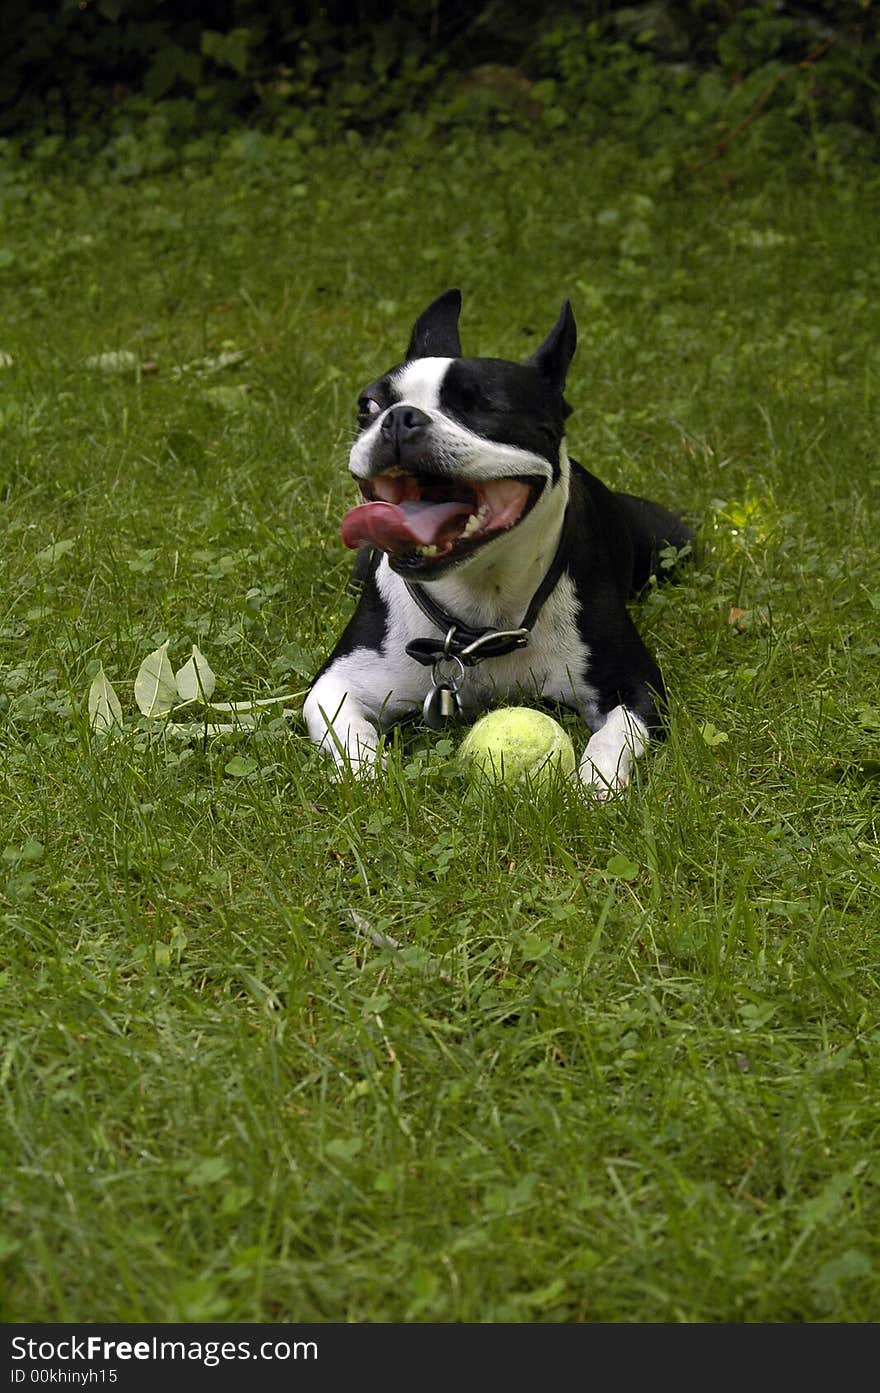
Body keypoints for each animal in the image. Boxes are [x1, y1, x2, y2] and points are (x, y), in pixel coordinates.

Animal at [303, 291, 693, 796]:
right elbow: (348, 731)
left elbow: (614, 736)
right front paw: (372, 777)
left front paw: (595, 785)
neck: (482, 602)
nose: (399, 419)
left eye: (485, 406)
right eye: (368, 404)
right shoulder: (337, 682)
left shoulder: (636, 687)